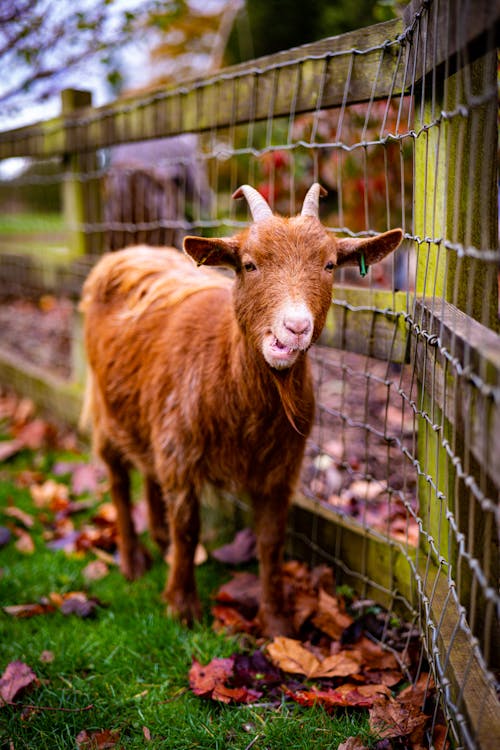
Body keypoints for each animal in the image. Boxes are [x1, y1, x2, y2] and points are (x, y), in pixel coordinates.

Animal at [82, 185, 402, 636]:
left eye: (328, 265)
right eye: (249, 265)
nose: (296, 327)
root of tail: (127, 254)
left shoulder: (281, 468)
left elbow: (270, 541)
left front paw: (277, 622)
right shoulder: (180, 454)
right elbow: (189, 530)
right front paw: (182, 607)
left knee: (147, 472)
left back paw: (158, 541)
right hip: (104, 409)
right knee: (117, 480)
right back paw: (132, 561)